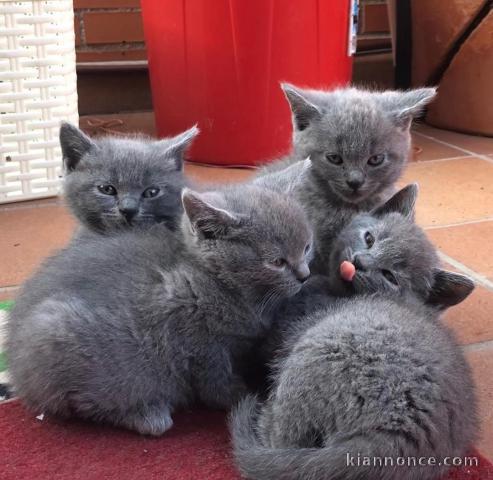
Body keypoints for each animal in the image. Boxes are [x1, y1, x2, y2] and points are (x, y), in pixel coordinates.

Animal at [6, 160, 312, 436]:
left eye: (307, 247)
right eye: (277, 262)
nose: (304, 275)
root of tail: (19, 375)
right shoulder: (197, 340)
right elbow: (214, 377)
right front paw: (240, 395)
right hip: (62, 339)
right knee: (81, 403)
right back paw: (147, 415)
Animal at [231, 185, 476, 480]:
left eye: (390, 276)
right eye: (369, 238)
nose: (359, 261)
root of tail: (392, 438)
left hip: (317, 350)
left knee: (282, 440)